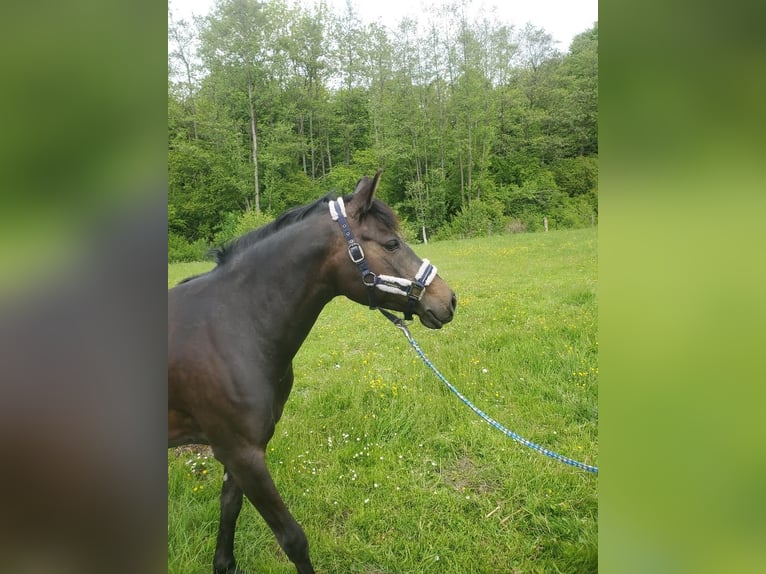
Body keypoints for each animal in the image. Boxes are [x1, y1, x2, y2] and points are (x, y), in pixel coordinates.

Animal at [168, 171, 457, 573]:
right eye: (391, 243)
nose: (448, 300)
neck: (233, 326)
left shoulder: (236, 452)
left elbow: (229, 509)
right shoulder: (242, 453)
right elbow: (292, 539)